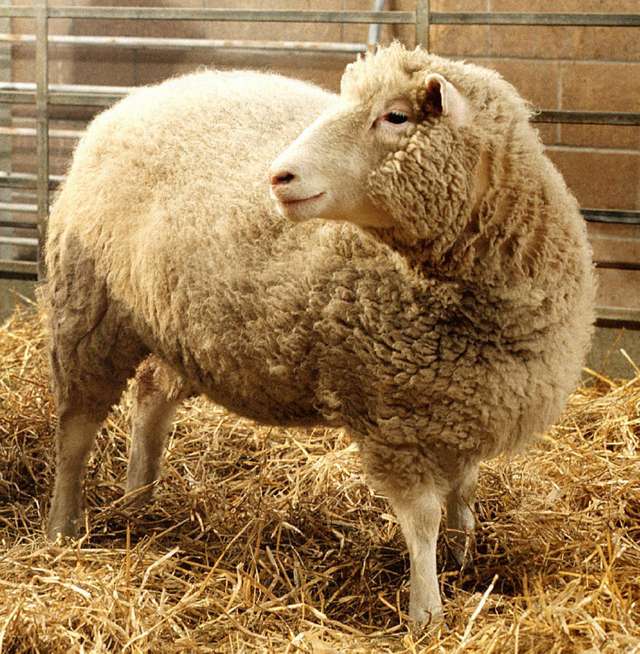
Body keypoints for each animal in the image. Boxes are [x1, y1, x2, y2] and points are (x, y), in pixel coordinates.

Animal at [44, 44, 595, 626]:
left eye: (395, 116)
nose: (279, 176)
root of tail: (131, 102)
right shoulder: (392, 417)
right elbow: (421, 518)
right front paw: (427, 611)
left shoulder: (463, 405)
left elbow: (465, 493)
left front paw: (464, 557)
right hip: (88, 313)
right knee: (75, 431)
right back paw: (63, 525)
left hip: (178, 325)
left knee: (151, 396)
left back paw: (139, 498)